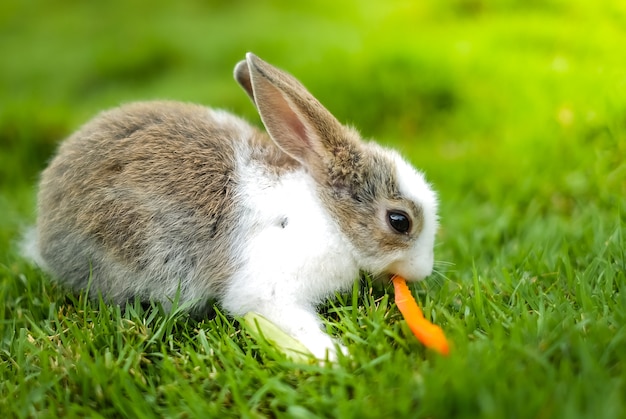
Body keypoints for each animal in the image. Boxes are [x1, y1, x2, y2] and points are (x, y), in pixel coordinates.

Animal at [30, 52, 438, 360]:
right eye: (400, 221)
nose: (424, 271)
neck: (328, 216)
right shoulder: (269, 291)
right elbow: (289, 320)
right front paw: (334, 357)